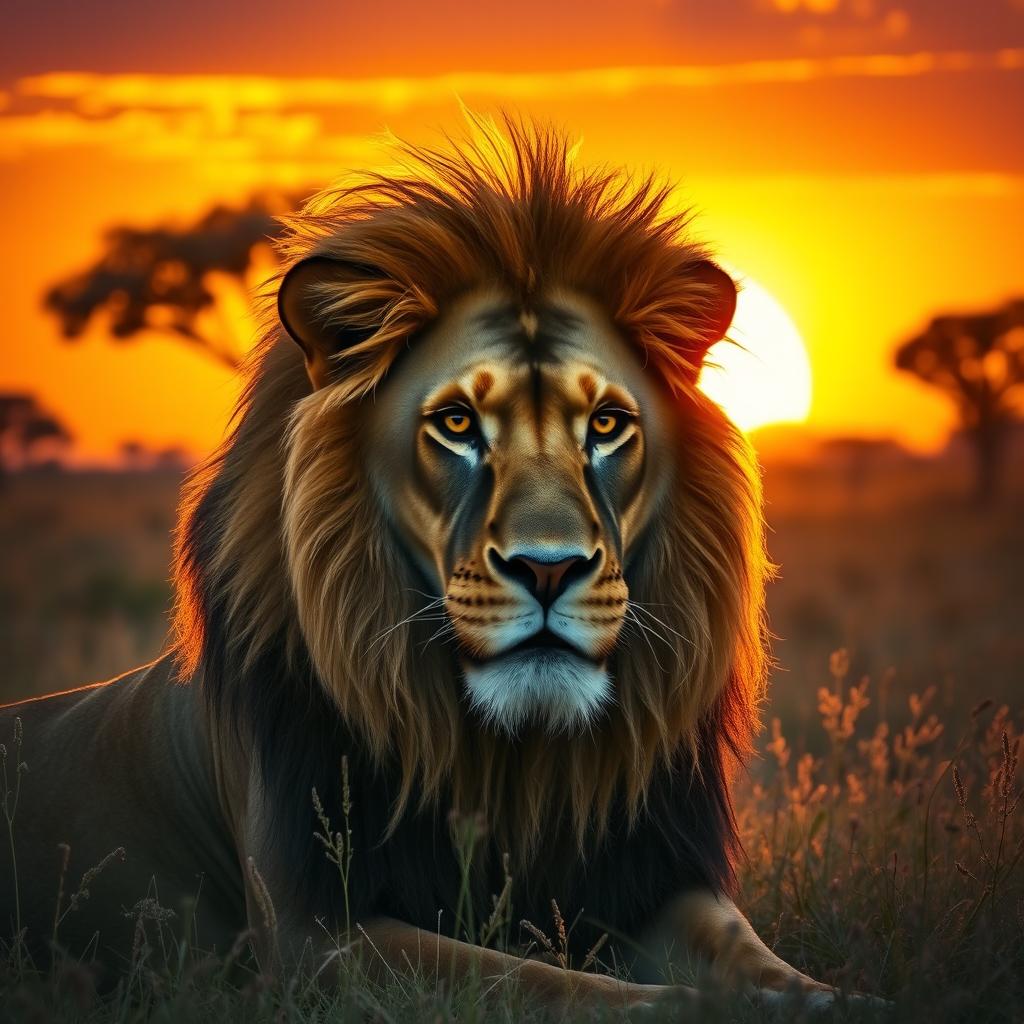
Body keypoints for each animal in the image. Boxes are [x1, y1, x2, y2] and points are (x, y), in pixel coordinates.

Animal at [1, 118, 842, 1011]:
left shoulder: (659, 879)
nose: (550, 570)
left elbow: (756, 958)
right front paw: (683, 1005)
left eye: (608, 423)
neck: (513, 762)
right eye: (458, 423)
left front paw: (834, 1000)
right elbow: (539, 982)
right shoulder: (313, 936)